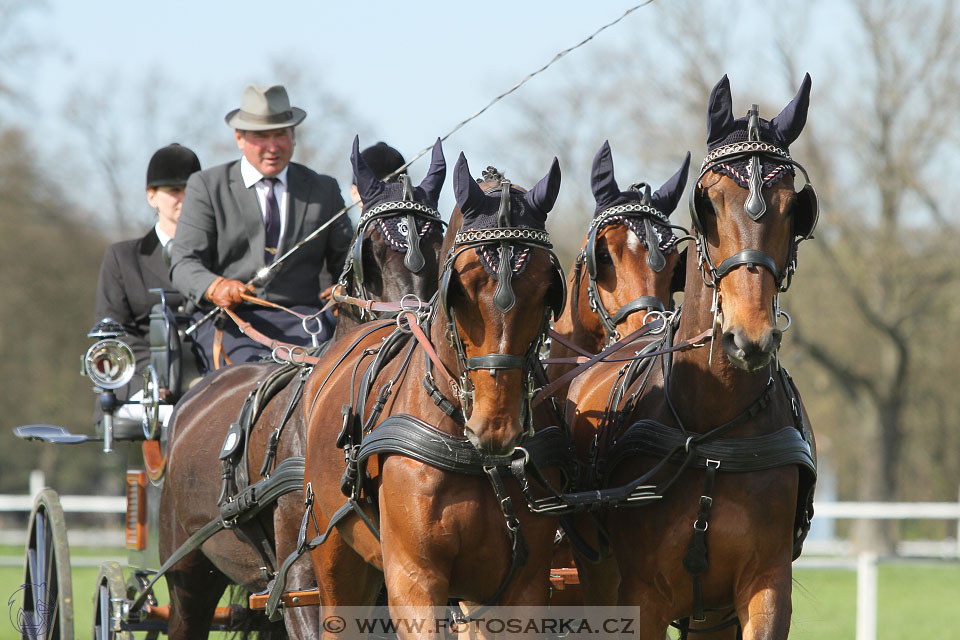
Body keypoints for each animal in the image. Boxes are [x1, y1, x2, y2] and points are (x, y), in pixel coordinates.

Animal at [300, 154, 568, 636]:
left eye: (546, 290)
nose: (496, 426)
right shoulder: (414, 580)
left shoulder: (525, 586)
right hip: (335, 559)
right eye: (458, 289)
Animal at [568, 74, 820, 636]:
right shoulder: (641, 596)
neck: (711, 435)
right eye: (708, 202)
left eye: (795, 208)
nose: (748, 339)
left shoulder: (766, 587)